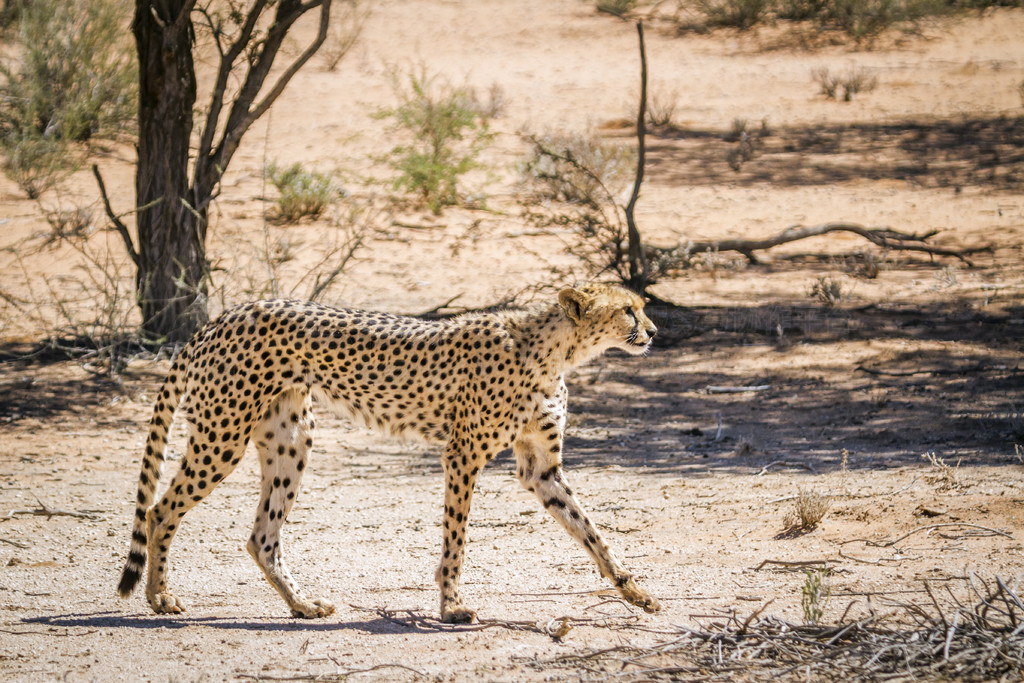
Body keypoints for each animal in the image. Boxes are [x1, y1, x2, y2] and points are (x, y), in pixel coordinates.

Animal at [117, 282, 663, 626]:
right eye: (627, 310)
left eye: (642, 306)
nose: (654, 332)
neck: (555, 351)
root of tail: (223, 316)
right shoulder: (462, 454)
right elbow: (456, 540)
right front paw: (451, 606)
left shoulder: (541, 469)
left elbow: (590, 531)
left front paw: (634, 591)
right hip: (223, 435)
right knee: (159, 509)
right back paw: (160, 597)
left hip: (292, 439)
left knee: (261, 537)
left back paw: (302, 607)